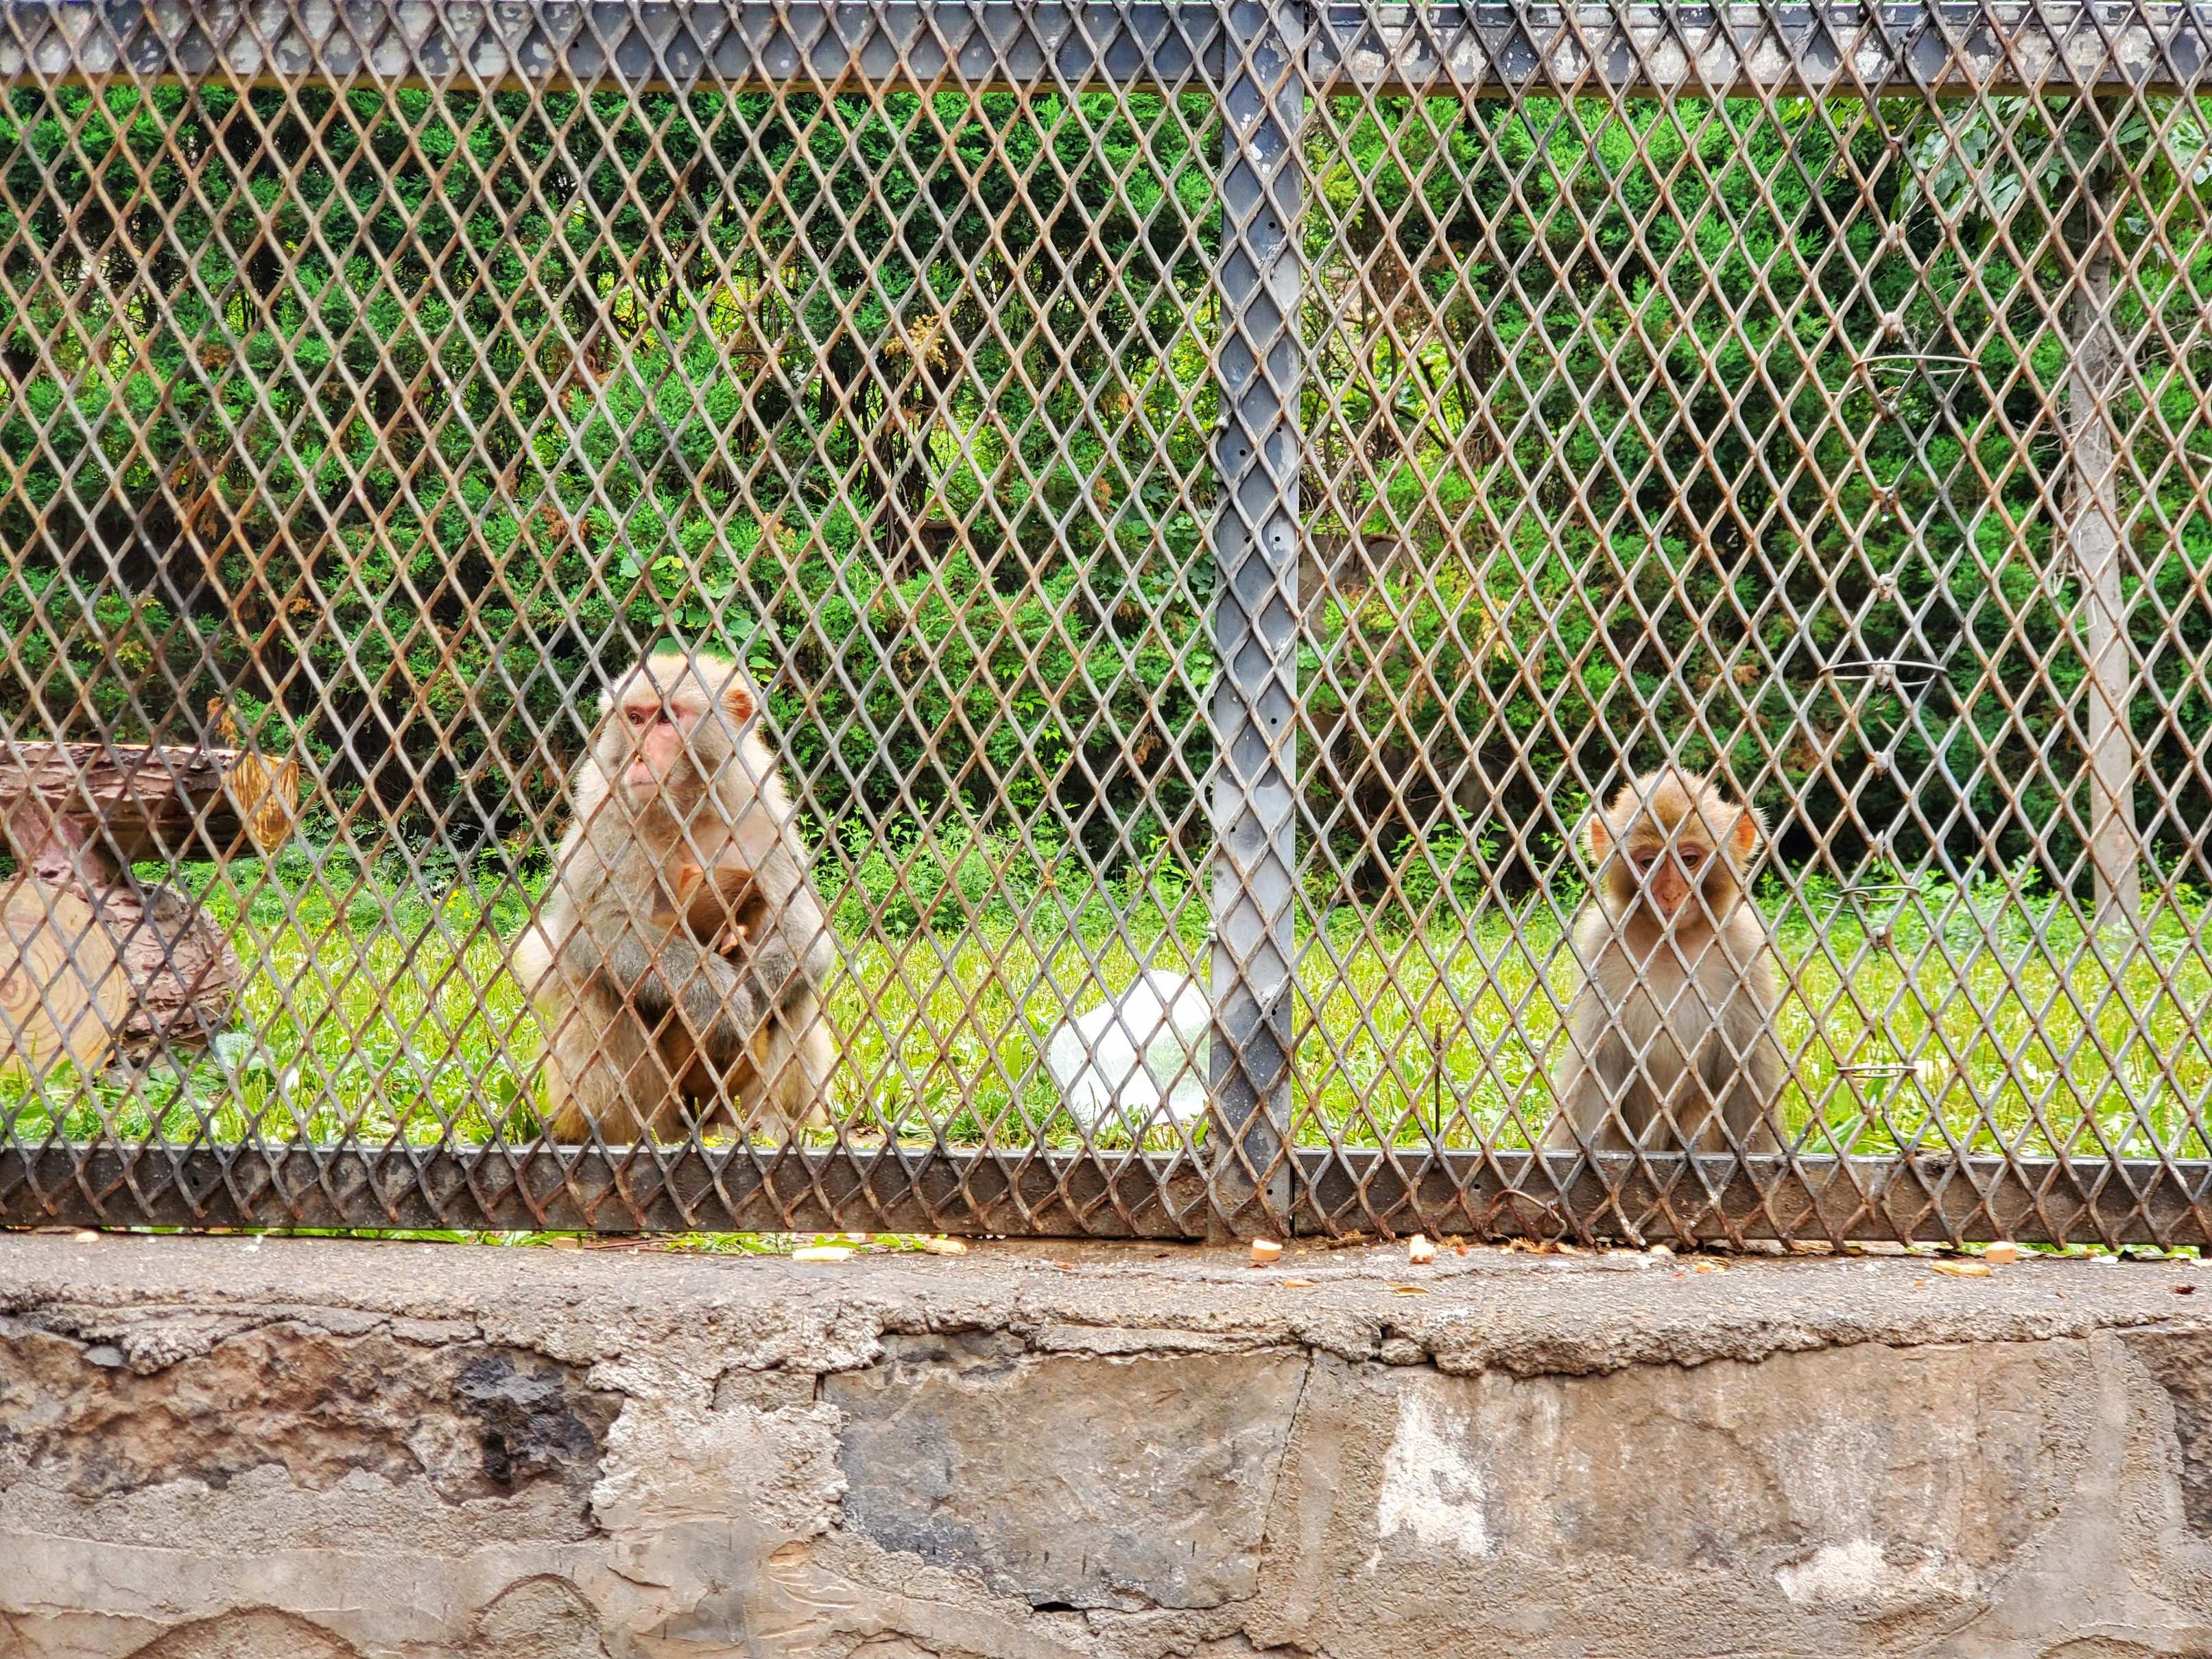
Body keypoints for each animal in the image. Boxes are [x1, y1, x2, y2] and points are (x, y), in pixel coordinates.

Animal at [508, 654, 836, 1150]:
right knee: (598, 987)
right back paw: (625, 1133)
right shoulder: (606, 811)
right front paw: (716, 996)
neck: (686, 806)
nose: (640, 754)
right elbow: (592, 928)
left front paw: (752, 985)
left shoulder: (762, 811)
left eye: (666, 718)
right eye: (635, 717)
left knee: (795, 994)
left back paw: (765, 1125)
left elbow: (804, 933)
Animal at [1548, 765, 1787, 1159]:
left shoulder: (1744, 946)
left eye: (1689, 859)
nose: (1672, 893)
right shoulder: (1603, 941)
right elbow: (1599, 1064)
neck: (1673, 942)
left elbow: (1746, 1069)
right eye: (1649, 863)